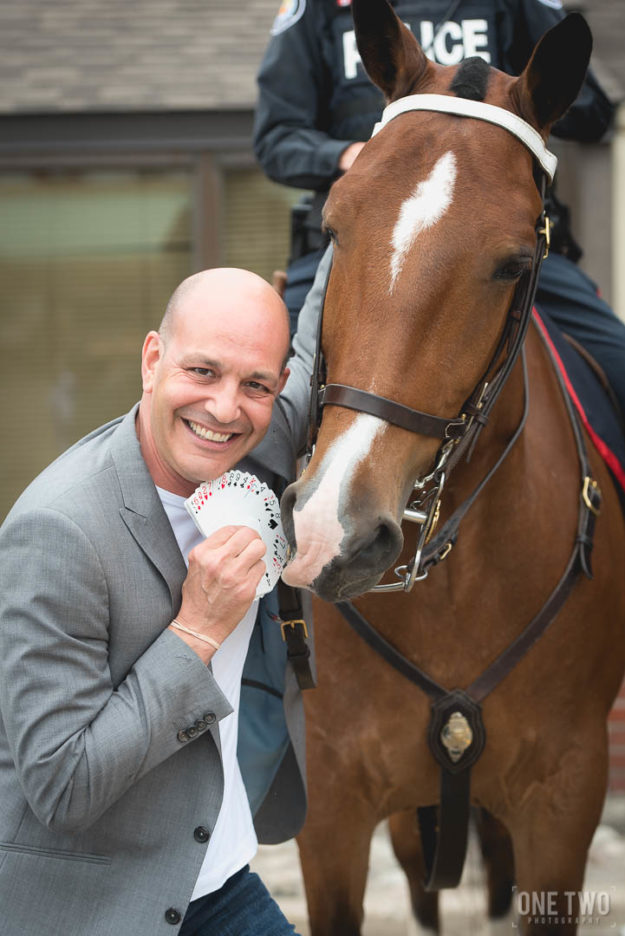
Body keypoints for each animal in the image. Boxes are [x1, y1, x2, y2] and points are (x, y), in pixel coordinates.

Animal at [278, 2, 625, 934]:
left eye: (513, 262)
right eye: (336, 226)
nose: (332, 530)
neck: (451, 588)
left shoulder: (563, 800)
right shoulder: (330, 809)